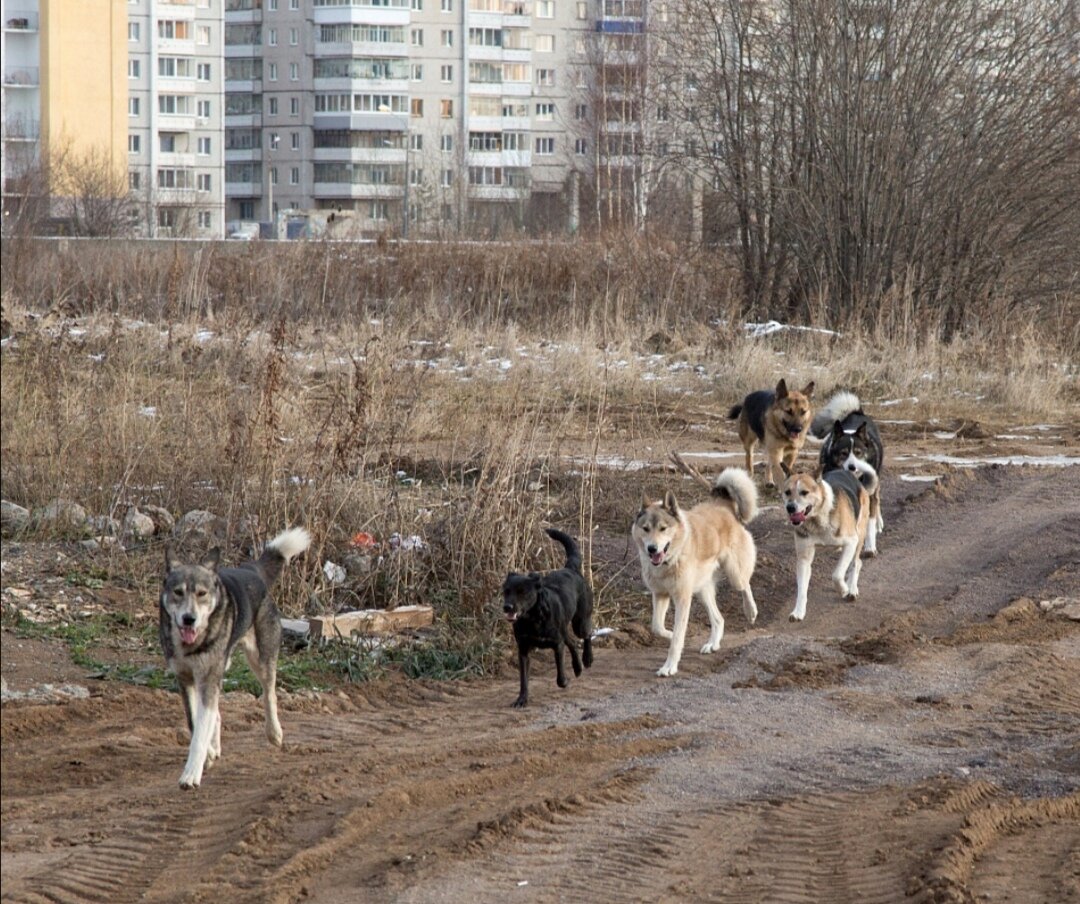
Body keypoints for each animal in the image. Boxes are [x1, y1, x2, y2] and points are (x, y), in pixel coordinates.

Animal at [160, 524, 313, 786]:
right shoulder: (186, 680)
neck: (193, 642)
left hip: (260, 660)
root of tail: (251, 570)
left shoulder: (207, 677)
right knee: (217, 713)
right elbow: (195, 723)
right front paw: (208, 753)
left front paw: (191, 774)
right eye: (178, 592)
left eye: (201, 594)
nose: (189, 619)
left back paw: (274, 733)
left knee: (269, 695)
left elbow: (200, 733)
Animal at [501, 524, 596, 708]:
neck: (533, 619)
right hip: (565, 628)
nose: (507, 607)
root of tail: (571, 569)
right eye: (506, 591)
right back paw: (577, 667)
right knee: (572, 642)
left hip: (579, 622)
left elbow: (559, 675)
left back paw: (587, 659)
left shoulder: (556, 644)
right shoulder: (523, 649)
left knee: (587, 634)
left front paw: (565, 681)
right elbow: (524, 680)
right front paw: (521, 699)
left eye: (522, 592)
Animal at [630, 457, 760, 678]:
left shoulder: (682, 599)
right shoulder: (660, 594)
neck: (669, 561)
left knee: (746, 586)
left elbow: (676, 640)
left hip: (734, 574)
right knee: (718, 619)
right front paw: (669, 633)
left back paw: (750, 611)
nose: (652, 548)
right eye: (645, 529)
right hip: (702, 590)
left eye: (663, 528)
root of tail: (722, 504)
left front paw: (669, 666)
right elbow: (657, 627)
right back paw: (712, 644)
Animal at [781, 466, 872, 622]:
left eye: (804, 492)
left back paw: (852, 589)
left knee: (856, 562)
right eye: (787, 492)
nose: (790, 507)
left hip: (859, 535)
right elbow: (802, 589)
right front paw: (798, 612)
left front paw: (845, 590)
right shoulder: (804, 558)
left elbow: (836, 575)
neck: (818, 518)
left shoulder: (851, 542)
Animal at [812, 388, 881, 552]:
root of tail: (856, 412)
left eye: (858, 453)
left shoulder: (869, 494)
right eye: (843, 453)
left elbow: (869, 521)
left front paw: (870, 547)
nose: (852, 467)